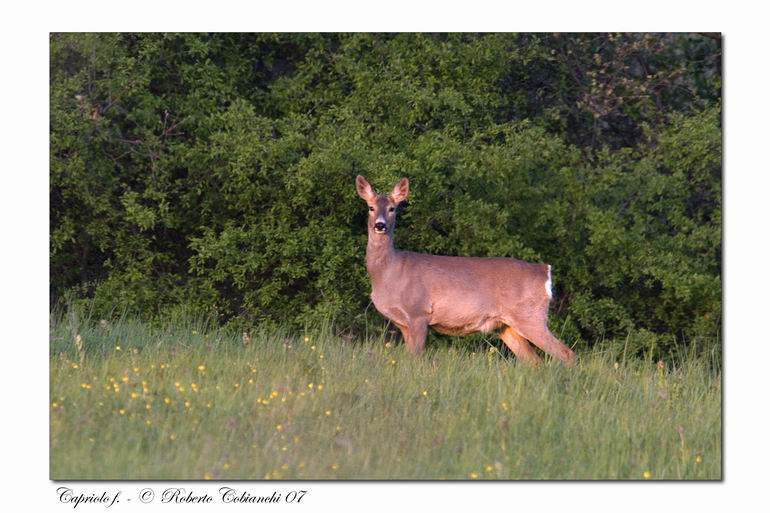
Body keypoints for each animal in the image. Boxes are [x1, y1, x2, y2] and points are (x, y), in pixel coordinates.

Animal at [354, 175, 568, 364]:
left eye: (392, 208)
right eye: (371, 207)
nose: (380, 225)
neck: (388, 273)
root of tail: (544, 271)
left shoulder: (418, 312)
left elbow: (416, 357)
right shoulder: (403, 324)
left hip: (530, 316)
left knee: (566, 354)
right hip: (506, 326)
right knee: (534, 362)